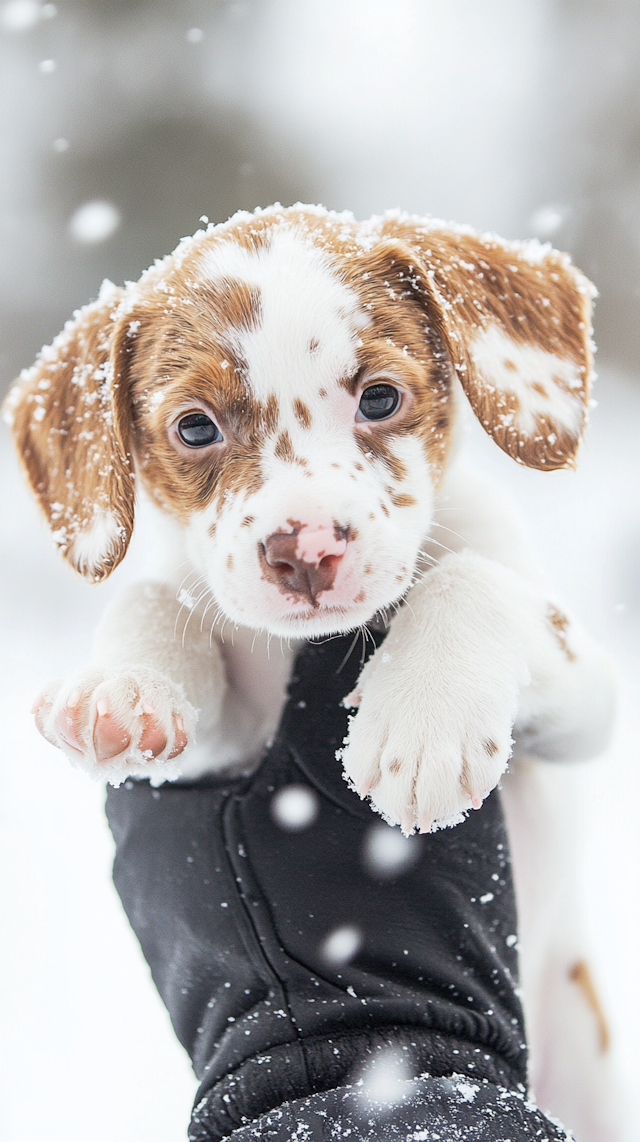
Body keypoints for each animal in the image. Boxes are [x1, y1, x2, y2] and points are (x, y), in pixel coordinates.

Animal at [3, 207, 621, 1142]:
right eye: (194, 428)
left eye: (380, 398)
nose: (306, 549)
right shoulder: (220, 745)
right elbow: (154, 597)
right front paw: (123, 688)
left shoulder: (592, 697)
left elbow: (473, 577)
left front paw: (423, 720)